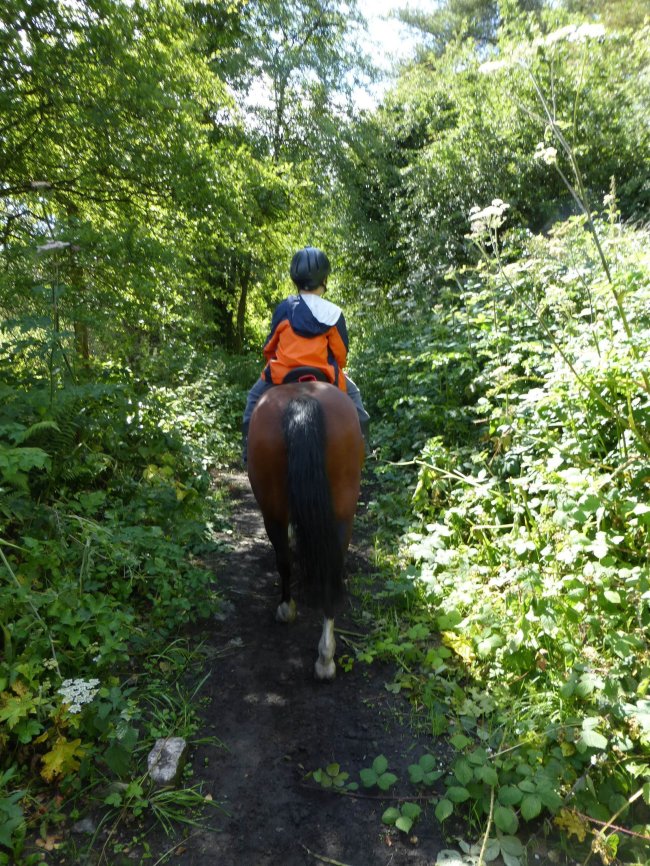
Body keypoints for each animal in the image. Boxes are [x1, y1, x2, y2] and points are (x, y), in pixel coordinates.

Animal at [247, 380, 364, 680]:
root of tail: (303, 399)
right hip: (343, 507)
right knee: (330, 568)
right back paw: (325, 657)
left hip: (272, 507)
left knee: (284, 561)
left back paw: (287, 611)